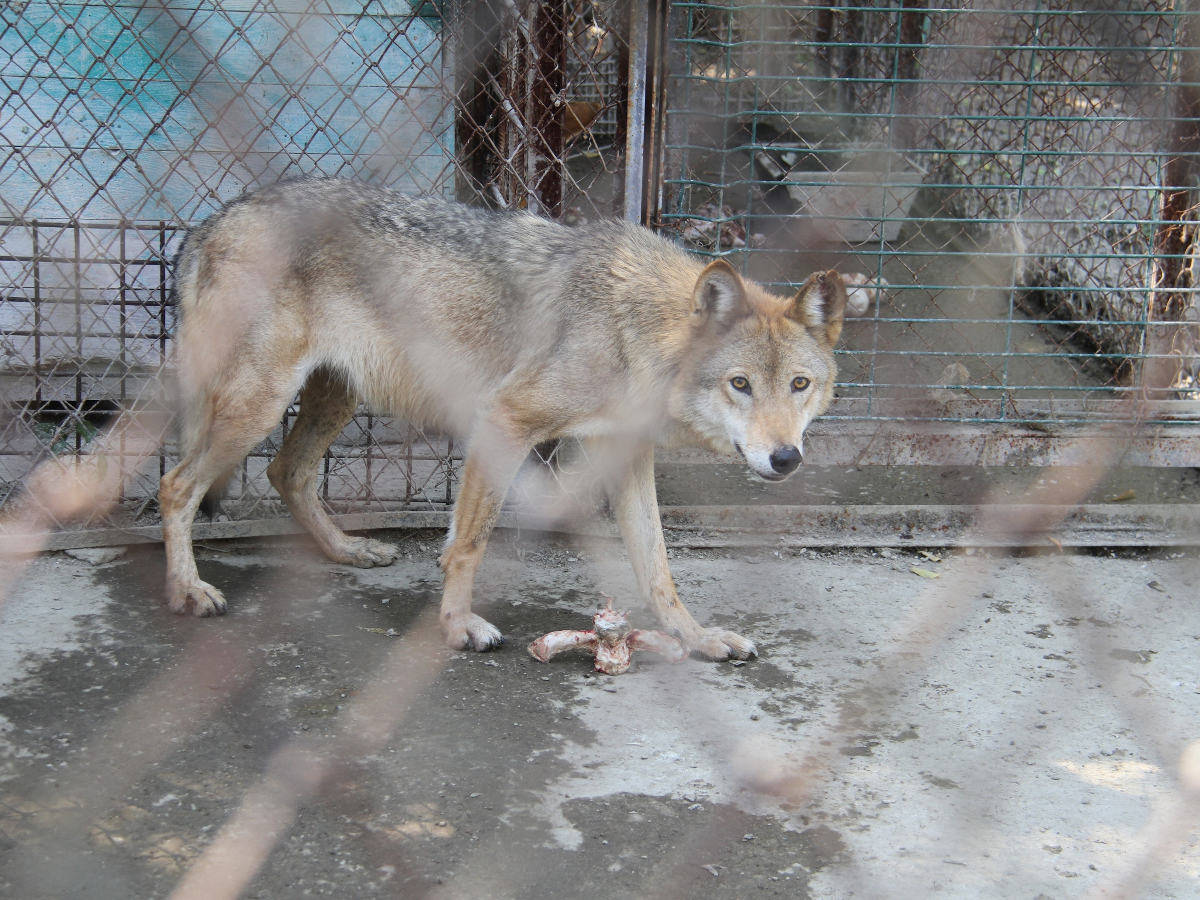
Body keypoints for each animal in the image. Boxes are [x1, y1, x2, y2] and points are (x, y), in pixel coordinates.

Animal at [162, 180, 854, 662]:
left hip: (333, 399)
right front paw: (455, 627)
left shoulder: (627, 457)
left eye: (800, 385)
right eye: (740, 385)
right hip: (258, 406)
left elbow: (659, 568)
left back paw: (348, 550)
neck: (632, 330)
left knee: (287, 473)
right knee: (177, 485)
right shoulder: (503, 423)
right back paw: (189, 592)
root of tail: (213, 219)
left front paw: (699, 636)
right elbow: (467, 544)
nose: (785, 459)